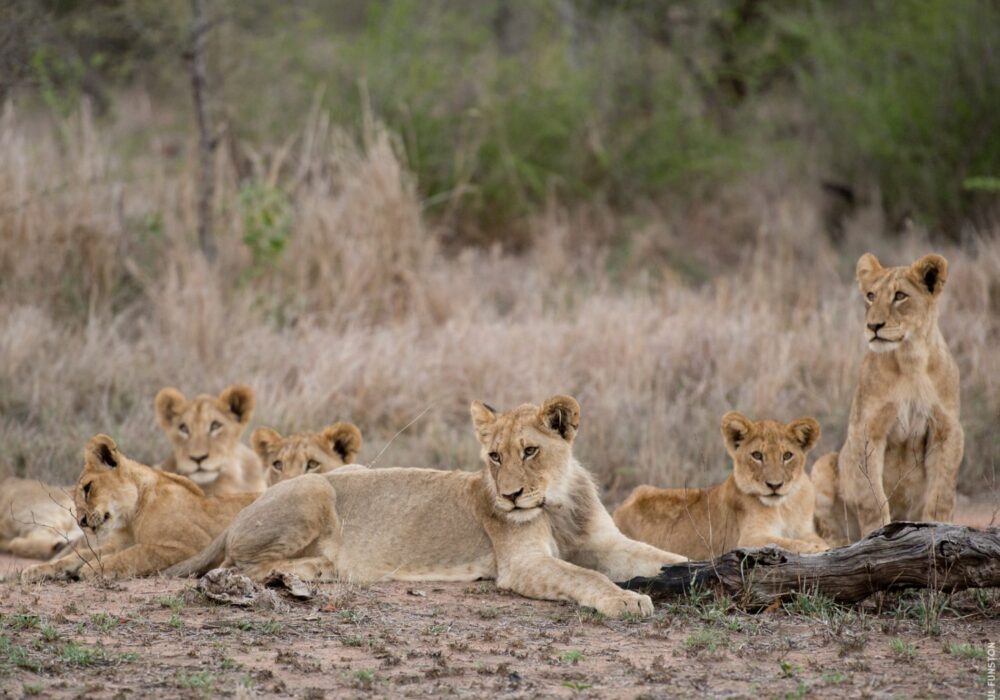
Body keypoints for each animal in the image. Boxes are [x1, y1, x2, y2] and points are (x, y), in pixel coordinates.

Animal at [11, 435, 256, 582]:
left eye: (88, 489)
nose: (81, 522)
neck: (130, 518)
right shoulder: (118, 543)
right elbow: (78, 555)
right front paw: (36, 570)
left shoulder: (190, 546)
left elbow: (137, 553)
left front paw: (92, 569)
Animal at [168, 395, 686, 618]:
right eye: (494, 456)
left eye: (530, 451)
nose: (509, 496)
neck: (557, 502)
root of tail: (243, 509)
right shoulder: (522, 564)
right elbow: (585, 576)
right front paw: (626, 599)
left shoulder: (605, 542)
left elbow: (662, 557)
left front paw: (686, 571)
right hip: (316, 488)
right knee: (239, 566)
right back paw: (304, 572)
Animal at [613, 412, 828, 559]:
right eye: (757, 455)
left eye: (787, 455)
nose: (774, 485)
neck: (784, 507)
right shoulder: (749, 539)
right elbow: (785, 542)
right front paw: (818, 549)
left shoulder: (805, 530)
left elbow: (811, 539)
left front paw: (822, 545)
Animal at [812, 253, 963, 544]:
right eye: (871, 296)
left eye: (900, 296)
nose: (873, 326)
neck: (910, 358)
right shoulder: (866, 429)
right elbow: (872, 498)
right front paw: (876, 537)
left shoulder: (947, 429)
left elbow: (941, 495)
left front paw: (937, 528)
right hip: (821, 465)